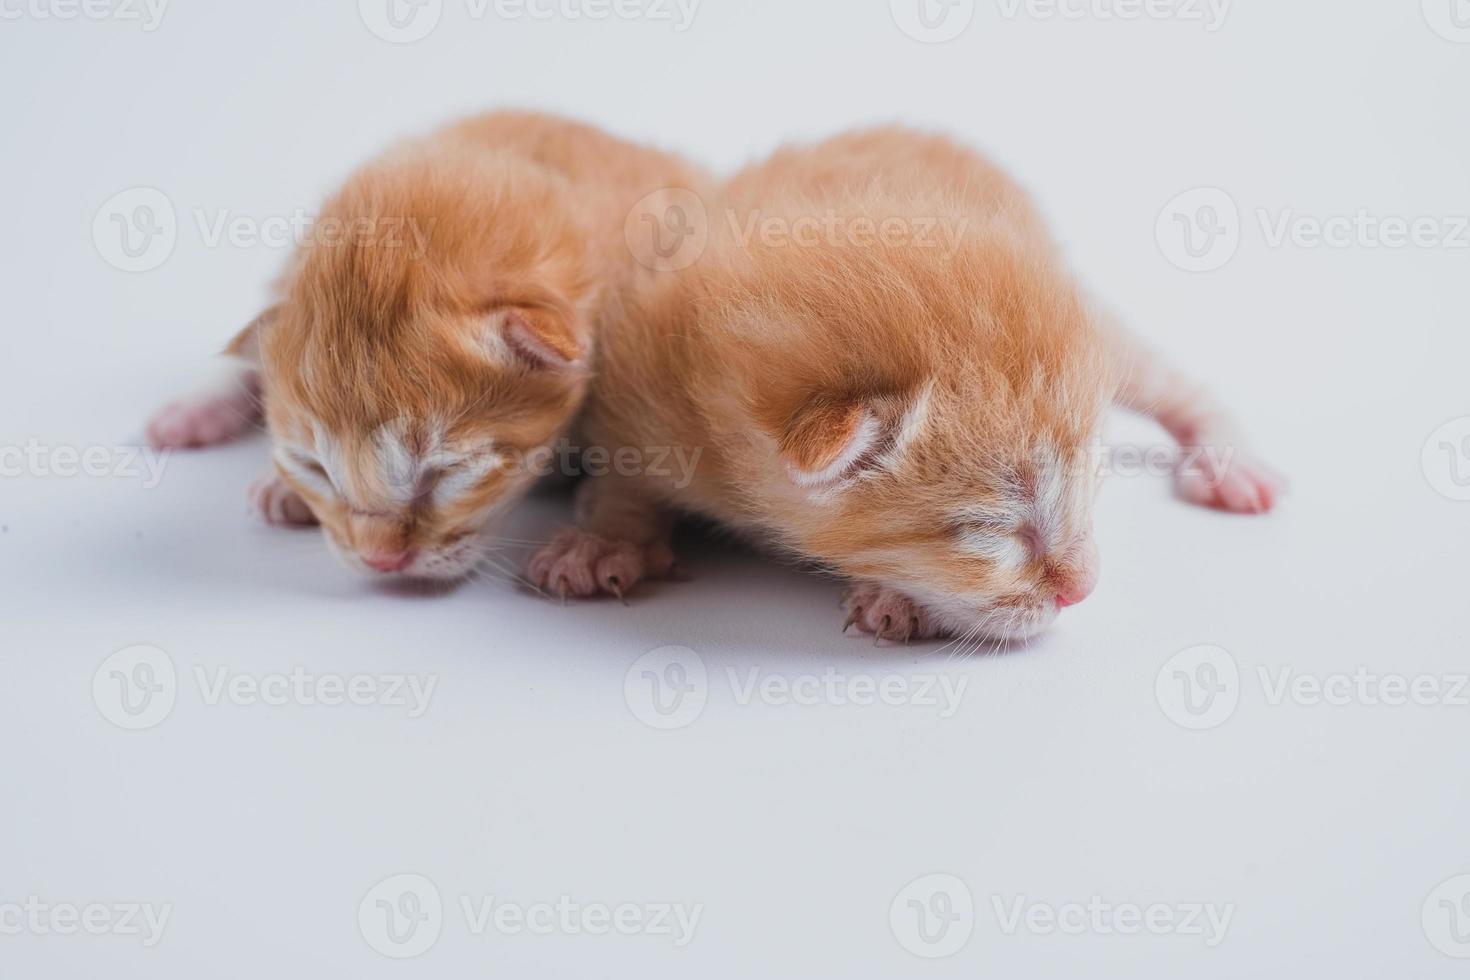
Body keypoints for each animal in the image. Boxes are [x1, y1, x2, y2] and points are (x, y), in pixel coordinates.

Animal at [529, 124, 1275, 643]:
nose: (1085, 589)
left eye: (1093, 482)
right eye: (989, 529)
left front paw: (901, 598)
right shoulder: (637, 374)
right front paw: (607, 537)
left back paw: (1230, 463)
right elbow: (629, 474)